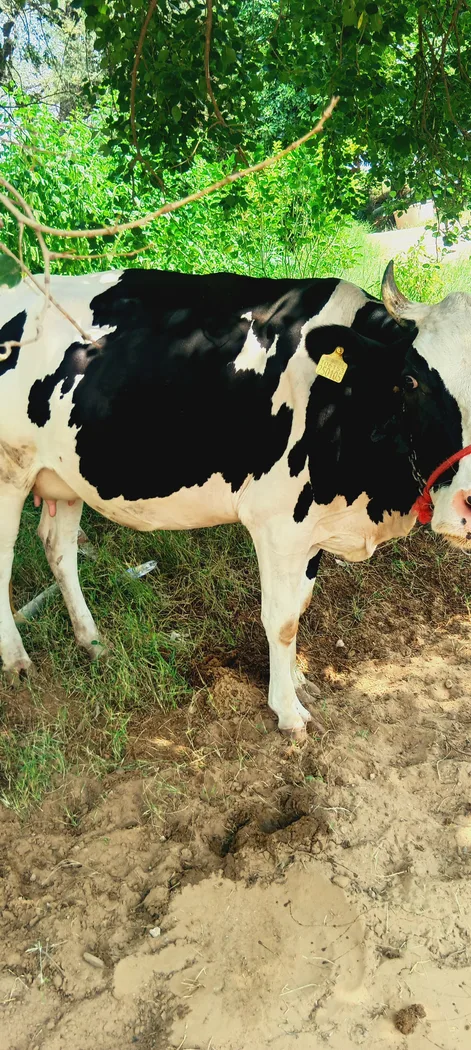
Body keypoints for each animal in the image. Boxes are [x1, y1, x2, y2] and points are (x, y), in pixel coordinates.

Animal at [0, 263, 470, 739]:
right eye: (411, 380)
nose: (467, 503)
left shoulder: (311, 527)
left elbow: (300, 603)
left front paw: (296, 678)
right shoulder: (278, 523)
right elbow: (282, 619)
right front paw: (287, 709)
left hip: (65, 477)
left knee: (59, 549)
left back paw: (92, 642)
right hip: (9, 471)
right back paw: (17, 660)